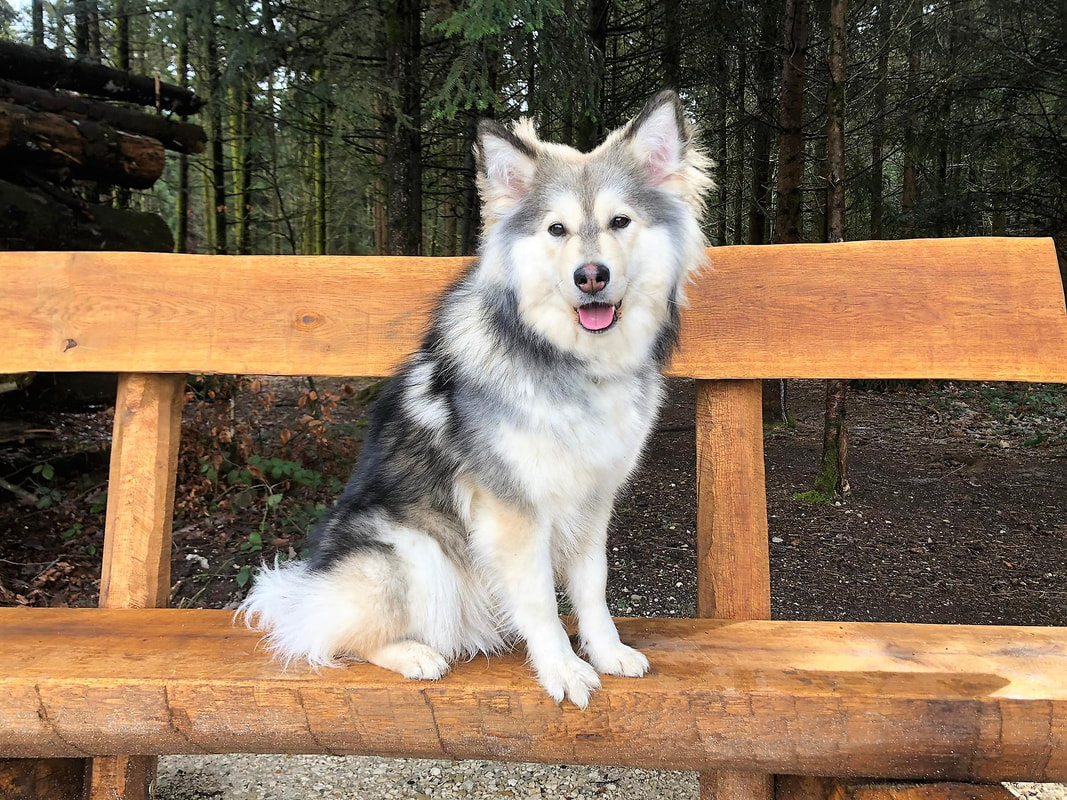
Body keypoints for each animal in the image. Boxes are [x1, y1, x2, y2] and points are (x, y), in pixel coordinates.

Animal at [237, 90, 712, 712]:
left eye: (620, 221)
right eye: (557, 229)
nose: (591, 276)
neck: (567, 361)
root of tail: (309, 585)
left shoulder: (593, 501)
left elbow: (592, 587)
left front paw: (606, 652)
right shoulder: (513, 511)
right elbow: (540, 599)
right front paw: (562, 667)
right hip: (412, 554)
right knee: (331, 634)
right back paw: (413, 654)